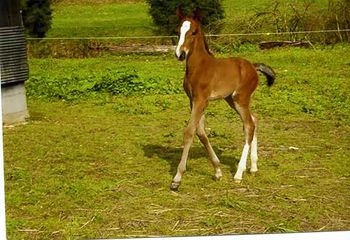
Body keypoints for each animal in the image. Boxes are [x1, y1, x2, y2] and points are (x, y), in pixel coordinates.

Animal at [172, 10, 276, 191]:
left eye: (193, 32)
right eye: (178, 31)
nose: (180, 54)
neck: (199, 67)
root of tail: (253, 66)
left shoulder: (201, 100)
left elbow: (190, 131)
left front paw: (177, 178)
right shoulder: (194, 100)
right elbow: (201, 132)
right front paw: (218, 171)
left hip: (240, 99)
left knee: (249, 125)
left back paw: (239, 173)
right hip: (232, 100)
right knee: (254, 119)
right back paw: (253, 167)